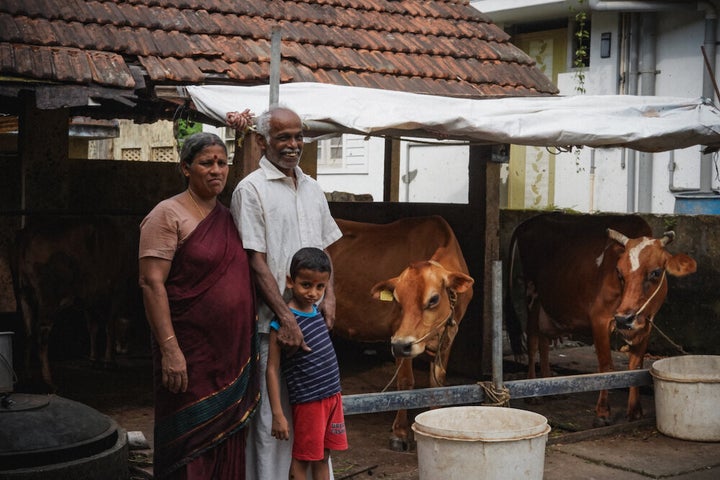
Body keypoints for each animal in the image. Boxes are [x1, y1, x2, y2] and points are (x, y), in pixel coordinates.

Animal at [11, 218, 134, 390]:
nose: (124, 348)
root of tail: (28, 232)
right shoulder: (116, 291)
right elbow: (110, 326)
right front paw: (110, 362)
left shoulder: (89, 300)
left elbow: (93, 327)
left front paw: (94, 359)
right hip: (48, 299)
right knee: (41, 334)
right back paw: (49, 381)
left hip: (22, 294)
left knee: (28, 332)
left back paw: (27, 376)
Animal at [330, 217, 476, 450]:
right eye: (397, 300)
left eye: (434, 299)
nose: (401, 345)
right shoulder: (397, 334)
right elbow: (405, 383)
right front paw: (399, 433)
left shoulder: (449, 335)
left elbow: (437, 382)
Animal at [506, 214, 696, 428]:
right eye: (619, 272)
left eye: (655, 272)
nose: (624, 318)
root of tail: (529, 222)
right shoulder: (599, 319)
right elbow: (606, 367)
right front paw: (603, 413)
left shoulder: (646, 324)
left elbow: (636, 366)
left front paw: (635, 410)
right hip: (532, 294)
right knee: (532, 342)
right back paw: (533, 393)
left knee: (544, 341)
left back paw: (548, 387)